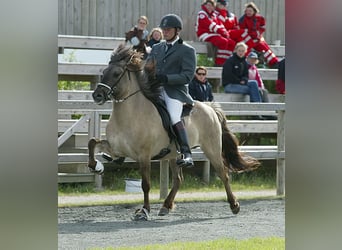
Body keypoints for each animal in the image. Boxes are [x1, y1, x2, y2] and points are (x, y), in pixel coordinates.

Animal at [88, 44, 260, 220]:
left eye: (116, 73)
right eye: (104, 72)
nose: (97, 95)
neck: (129, 115)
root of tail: (209, 107)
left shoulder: (144, 156)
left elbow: (145, 184)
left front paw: (144, 210)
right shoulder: (116, 150)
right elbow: (92, 142)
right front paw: (97, 167)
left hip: (212, 149)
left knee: (223, 174)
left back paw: (234, 205)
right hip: (174, 155)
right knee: (178, 179)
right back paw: (166, 206)